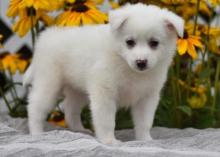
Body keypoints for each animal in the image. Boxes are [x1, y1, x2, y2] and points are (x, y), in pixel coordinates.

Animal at [24, 3, 184, 145]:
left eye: (154, 43)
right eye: (130, 42)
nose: (141, 62)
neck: (125, 65)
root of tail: (45, 37)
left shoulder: (147, 97)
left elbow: (144, 122)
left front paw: (145, 140)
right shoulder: (104, 93)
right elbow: (107, 121)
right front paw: (109, 141)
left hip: (78, 90)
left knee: (70, 109)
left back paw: (79, 130)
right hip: (49, 83)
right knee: (35, 107)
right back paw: (37, 134)